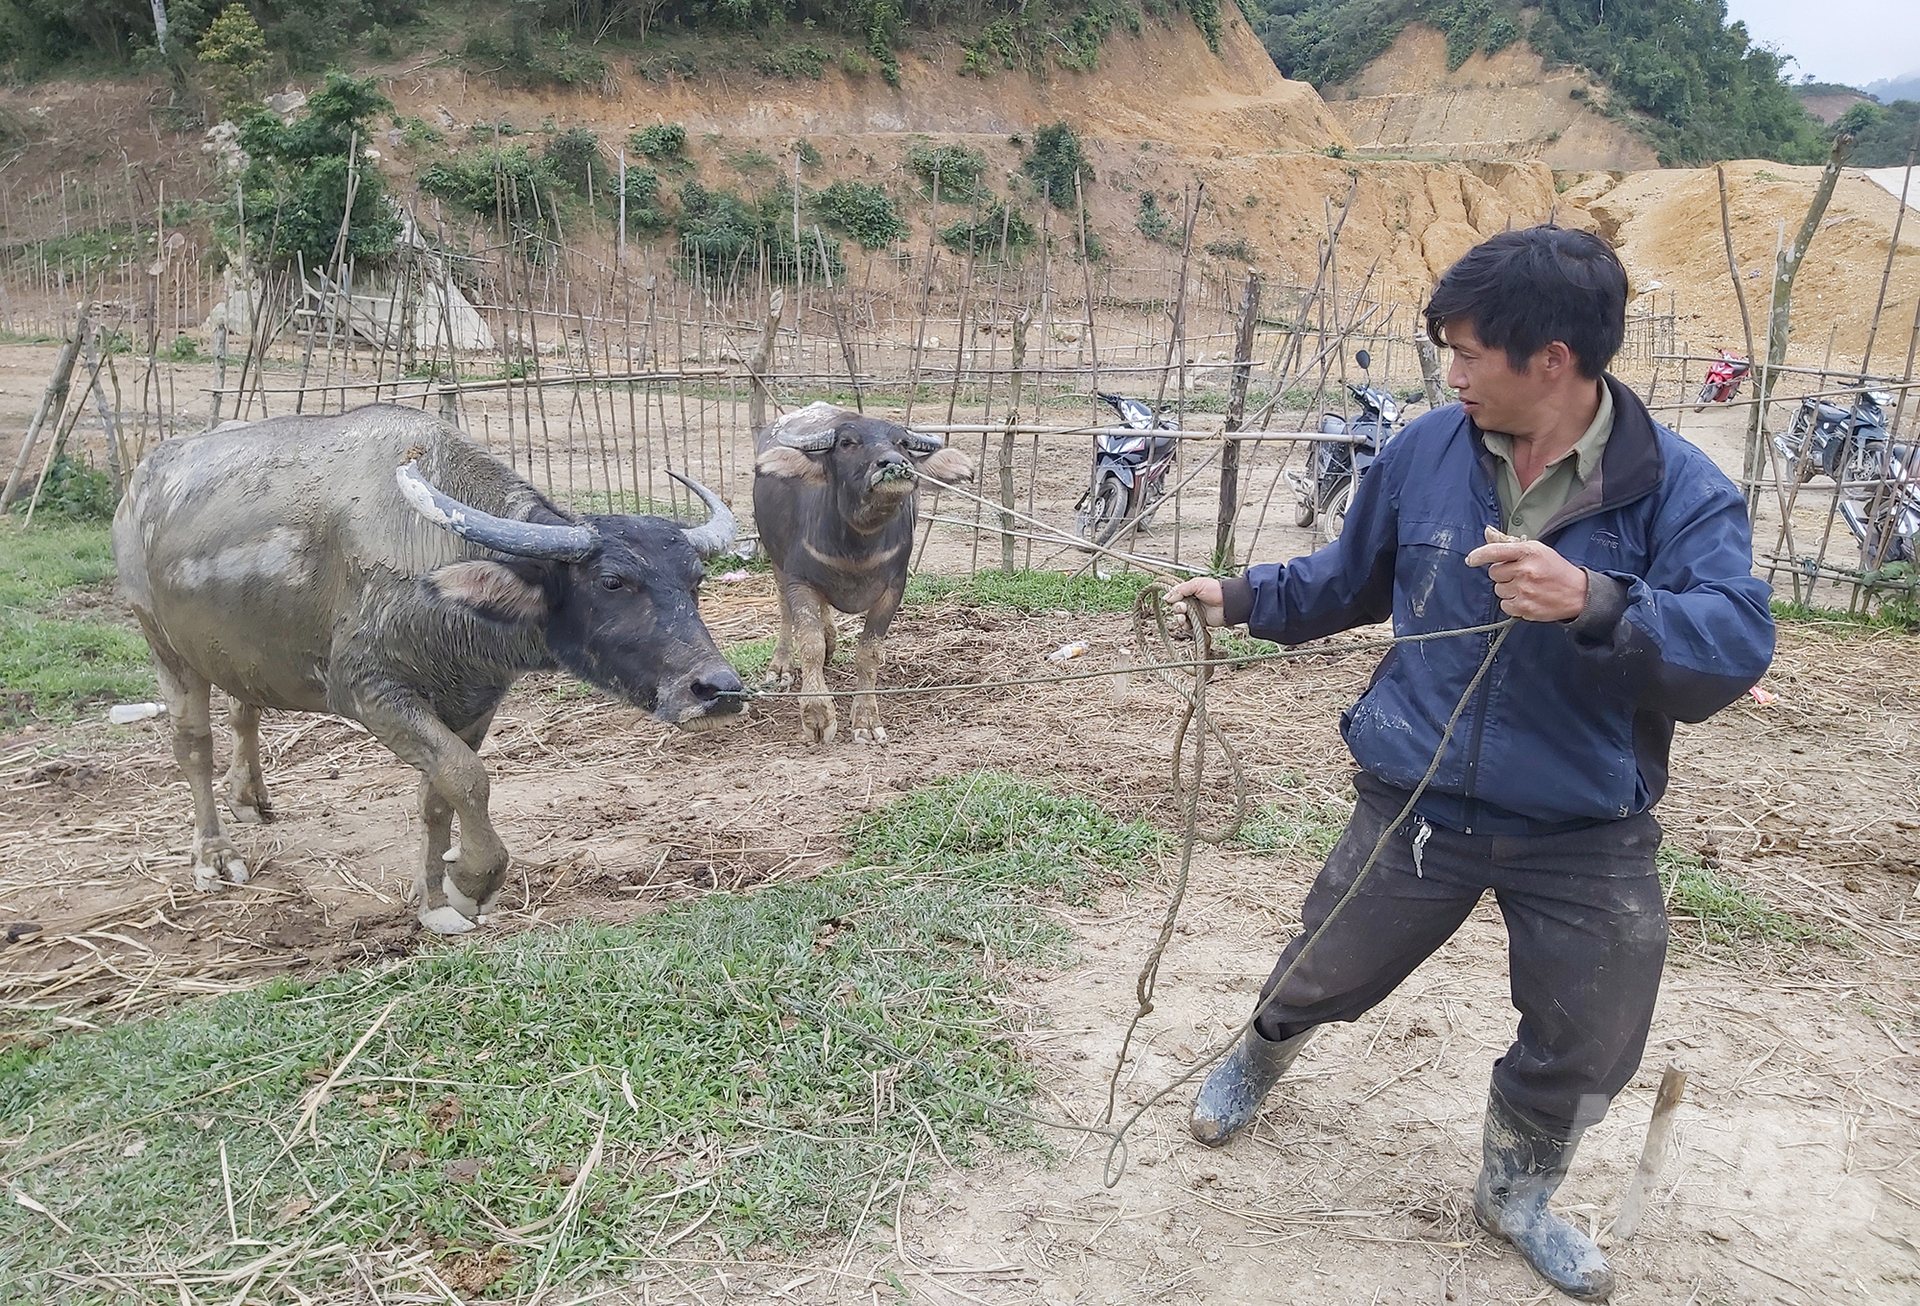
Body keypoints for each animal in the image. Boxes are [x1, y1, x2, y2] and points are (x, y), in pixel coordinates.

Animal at [112, 403, 741, 933]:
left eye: (694, 581)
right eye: (612, 582)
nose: (718, 689)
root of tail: (137, 489)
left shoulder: (475, 702)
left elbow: (440, 793)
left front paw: (436, 901)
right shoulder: (367, 690)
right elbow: (467, 777)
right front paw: (472, 883)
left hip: (237, 645)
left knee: (245, 707)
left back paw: (249, 797)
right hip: (162, 644)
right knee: (193, 744)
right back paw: (215, 855)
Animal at [741, 397, 967, 745]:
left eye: (902, 443)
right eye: (847, 443)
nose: (893, 464)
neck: (857, 545)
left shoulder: (894, 587)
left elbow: (868, 653)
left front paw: (867, 722)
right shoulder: (798, 580)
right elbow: (810, 644)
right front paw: (818, 717)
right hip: (774, 558)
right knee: (785, 612)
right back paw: (781, 667)